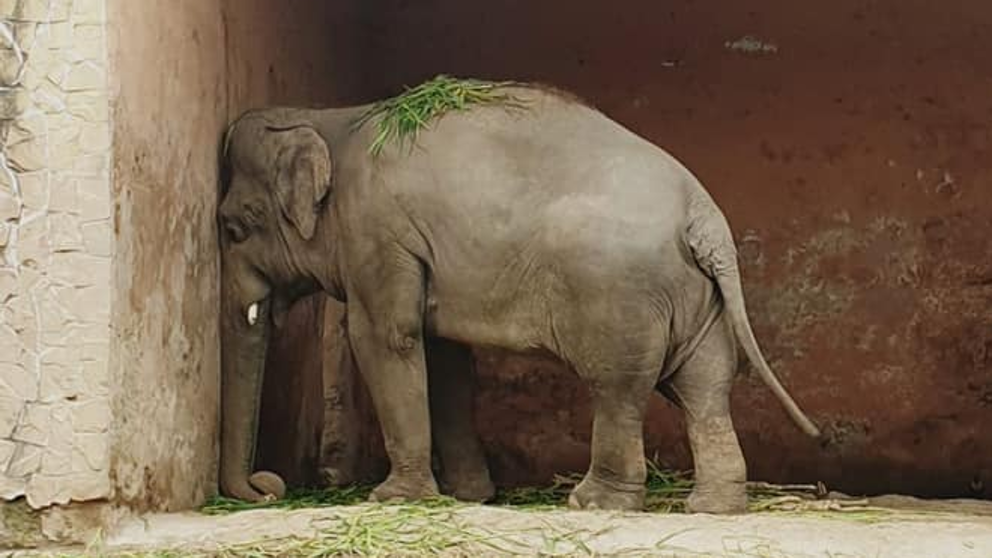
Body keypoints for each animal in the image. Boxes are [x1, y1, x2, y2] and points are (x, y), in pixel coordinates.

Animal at [217, 82, 821, 514]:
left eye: (234, 227)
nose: (267, 485)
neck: (327, 118)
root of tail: (703, 212)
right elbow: (444, 357)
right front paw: (468, 496)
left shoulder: (377, 230)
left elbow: (386, 338)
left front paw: (392, 498)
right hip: (696, 296)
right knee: (705, 387)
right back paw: (711, 507)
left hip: (621, 293)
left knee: (619, 388)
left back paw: (594, 503)